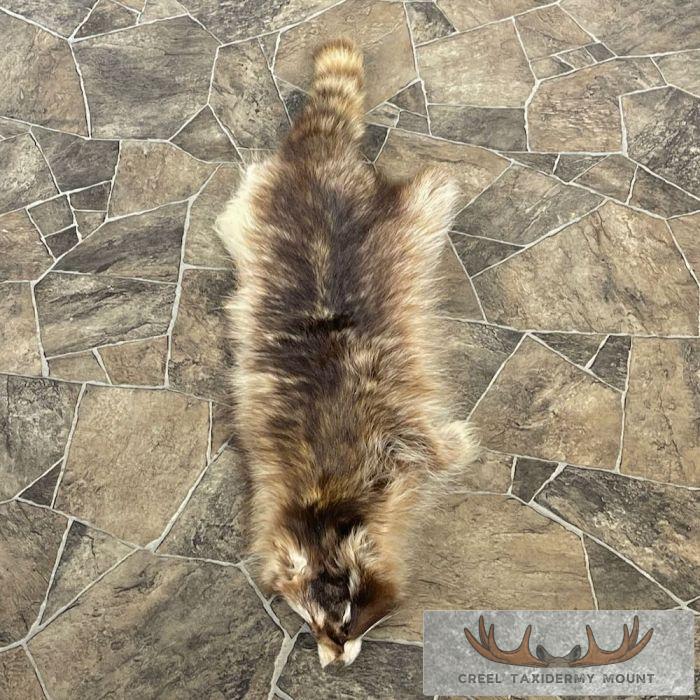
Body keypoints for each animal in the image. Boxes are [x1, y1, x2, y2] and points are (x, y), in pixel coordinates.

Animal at [216, 38, 478, 667]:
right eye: (312, 622)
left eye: (352, 621)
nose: (334, 664)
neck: (327, 504)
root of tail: (318, 162)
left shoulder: (403, 436)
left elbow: (443, 448)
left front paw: (460, 445)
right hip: (252, 211)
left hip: (394, 216)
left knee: (434, 188)